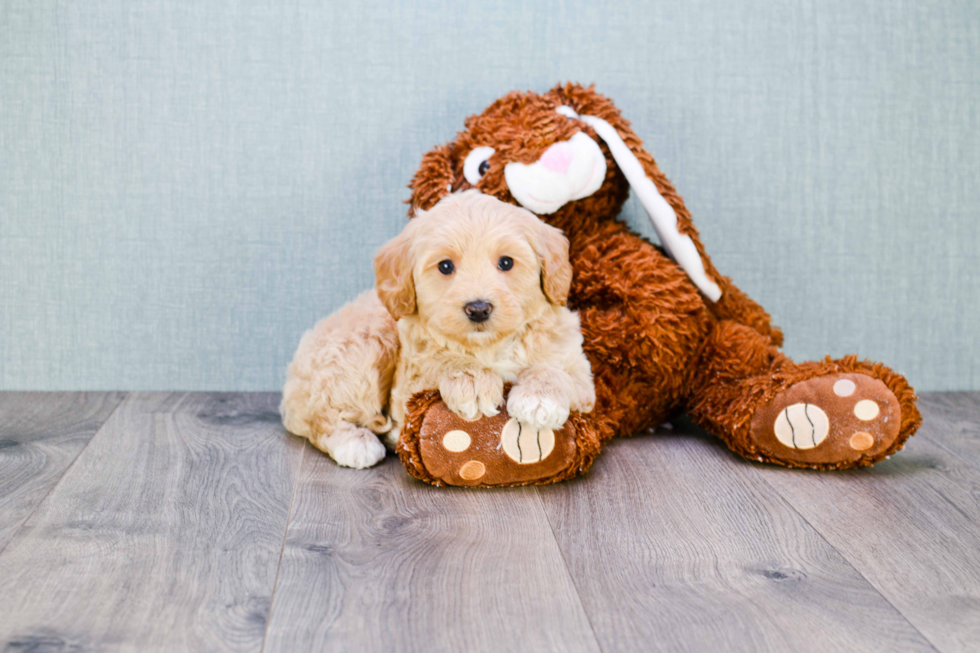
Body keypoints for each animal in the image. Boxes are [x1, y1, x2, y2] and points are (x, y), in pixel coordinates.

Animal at [280, 190, 592, 468]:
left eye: (506, 262)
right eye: (445, 266)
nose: (478, 308)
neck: (488, 347)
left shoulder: (582, 375)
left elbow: (556, 371)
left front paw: (539, 400)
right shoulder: (407, 386)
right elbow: (438, 360)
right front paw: (472, 381)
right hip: (362, 346)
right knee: (323, 417)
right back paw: (355, 443)